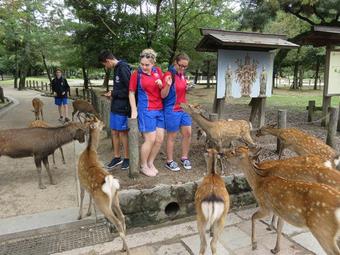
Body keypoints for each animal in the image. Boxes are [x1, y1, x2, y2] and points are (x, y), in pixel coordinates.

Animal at [77, 116, 129, 254]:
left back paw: (127, 250)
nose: (105, 123)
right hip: (115, 198)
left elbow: (82, 196)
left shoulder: (80, 179)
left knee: (117, 221)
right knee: (122, 217)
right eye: (98, 121)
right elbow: (89, 197)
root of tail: (110, 183)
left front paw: (80, 215)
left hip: (103, 204)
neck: (89, 151)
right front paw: (88, 212)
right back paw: (123, 247)